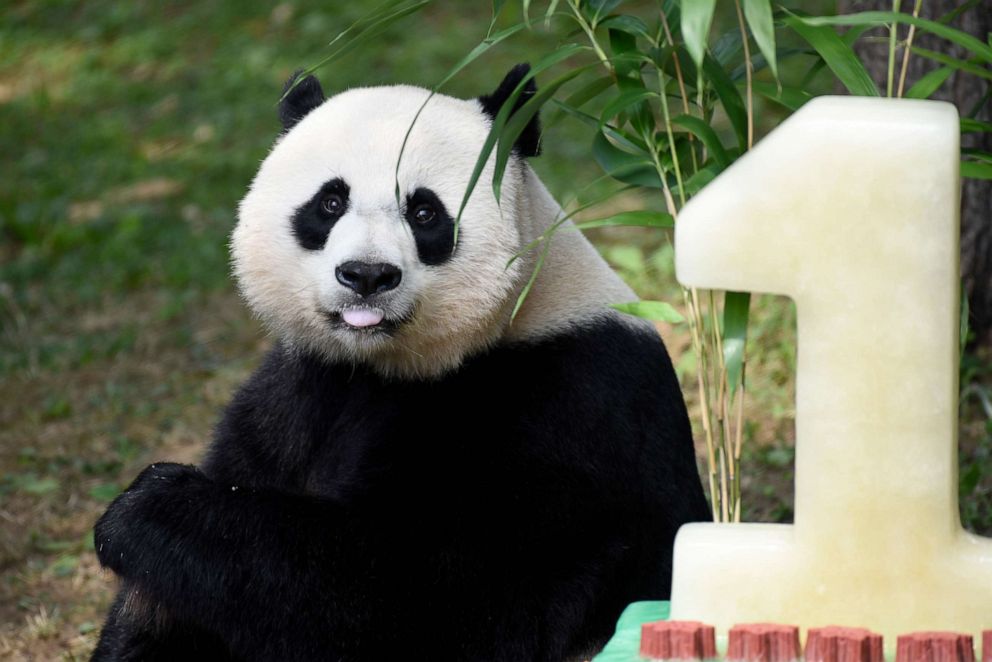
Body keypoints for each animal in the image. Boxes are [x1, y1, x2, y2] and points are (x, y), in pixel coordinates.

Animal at [93, 63, 708, 662]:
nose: (367, 275)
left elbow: (427, 596)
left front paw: (149, 507)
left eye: (424, 211)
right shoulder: (297, 389)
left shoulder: (568, 403)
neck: (383, 364)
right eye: (330, 203)